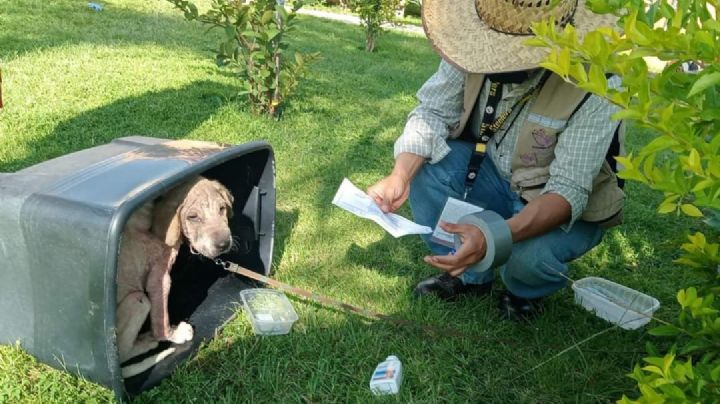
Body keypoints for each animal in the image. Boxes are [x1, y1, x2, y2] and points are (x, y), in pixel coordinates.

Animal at [115, 177, 233, 378]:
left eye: (222, 208)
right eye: (193, 217)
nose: (224, 244)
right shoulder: (160, 279)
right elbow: (161, 321)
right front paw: (173, 335)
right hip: (138, 300)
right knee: (124, 352)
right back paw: (148, 341)